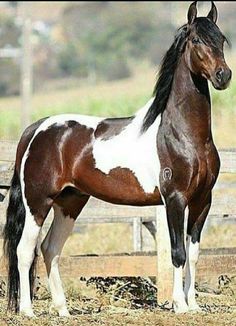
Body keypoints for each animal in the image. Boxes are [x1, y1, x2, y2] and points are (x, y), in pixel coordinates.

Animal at [2, 0, 232, 316]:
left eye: (221, 39)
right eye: (197, 40)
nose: (223, 76)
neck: (182, 135)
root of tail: (36, 129)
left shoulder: (202, 201)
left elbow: (194, 254)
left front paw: (194, 305)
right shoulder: (174, 199)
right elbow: (177, 253)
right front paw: (180, 306)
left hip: (70, 202)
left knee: (50, 248)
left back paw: (63, 310)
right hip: (38, 201)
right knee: (25, 250)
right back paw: (27, 310)